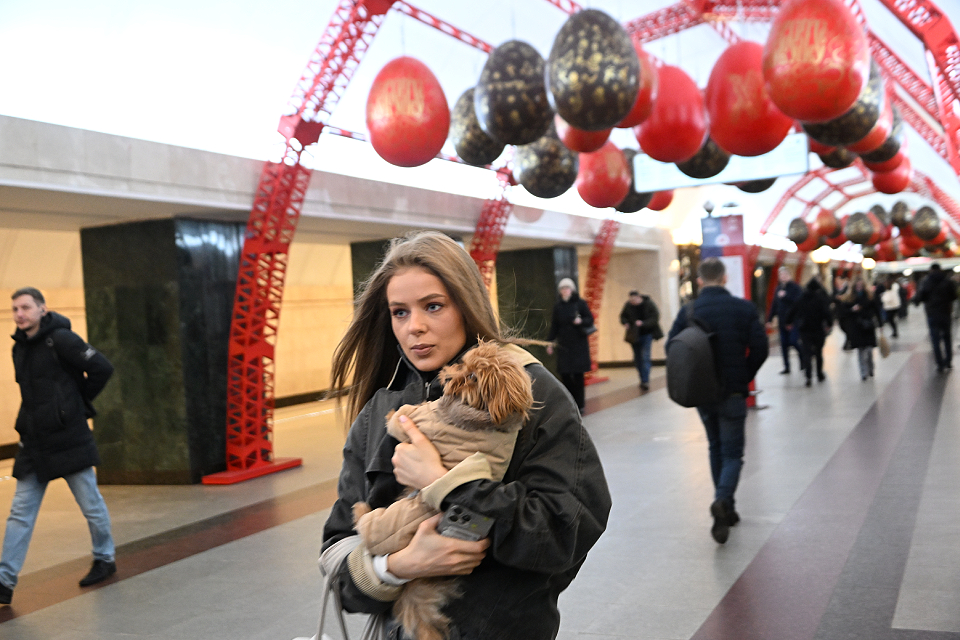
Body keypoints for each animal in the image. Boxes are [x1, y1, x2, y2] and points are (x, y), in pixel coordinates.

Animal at [352, 340, 535, 640]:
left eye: (472, 376)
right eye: (463, 364)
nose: (449, 375)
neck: (485, 416)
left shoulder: (419, 418)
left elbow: (400, 418)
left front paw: (392, 414)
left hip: (386, 523)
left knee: (366, 528)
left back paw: (360, 509)